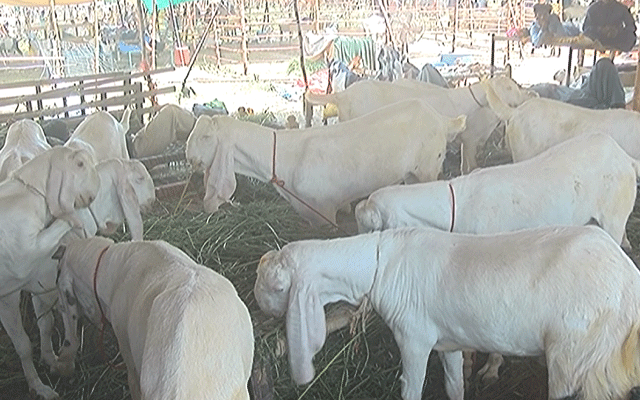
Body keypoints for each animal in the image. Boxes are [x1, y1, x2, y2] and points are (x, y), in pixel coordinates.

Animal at [185, 99, 464, 227]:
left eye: (206, 137)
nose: (189, 157)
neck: (282, 156)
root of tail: (442, 120)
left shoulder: (324, 212)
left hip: (428, 167)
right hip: (412, 173)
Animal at [255, 225, 640, 400]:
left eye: (276, 287)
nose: (258, 306)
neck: (379, 265)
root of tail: (628, 284)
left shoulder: (414, 338)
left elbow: (411, 388)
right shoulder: (449, 342)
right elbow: (455, 385)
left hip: (575, 357)